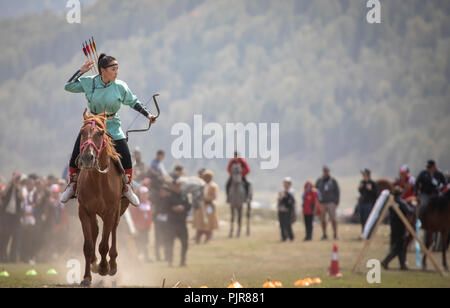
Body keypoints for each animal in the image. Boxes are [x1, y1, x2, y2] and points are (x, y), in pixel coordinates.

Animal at [76, 110, 128, 286]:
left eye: (100, 133)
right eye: (82, 132)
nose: (87, 158)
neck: (98, 180)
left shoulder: (111, 211)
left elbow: (104, 244)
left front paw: (104, 267)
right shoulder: (84, 211)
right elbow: (88, 245)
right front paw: (87, 277)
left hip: (118, 209)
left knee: (113, 229)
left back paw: (112, 264)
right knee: (96, 230)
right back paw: (94, 263)